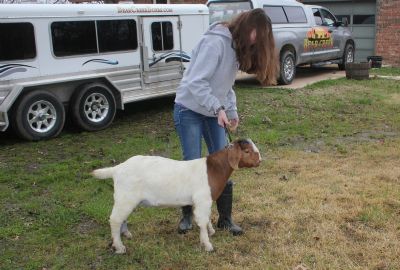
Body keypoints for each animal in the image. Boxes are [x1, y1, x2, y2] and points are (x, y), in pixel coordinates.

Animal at [92, 139, 264, 253]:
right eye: (247, 151)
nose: (260, 161)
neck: (213, 169)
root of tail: (117, 169)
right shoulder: (202, 199)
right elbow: (202, 221)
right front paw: (207, 245)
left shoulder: (205, 201)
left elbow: (207, 217)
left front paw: (211, 231)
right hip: (125, 197)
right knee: (114, 219)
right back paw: (119, 247)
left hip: (127, 199)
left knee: (121, 218)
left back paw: (126, 234)